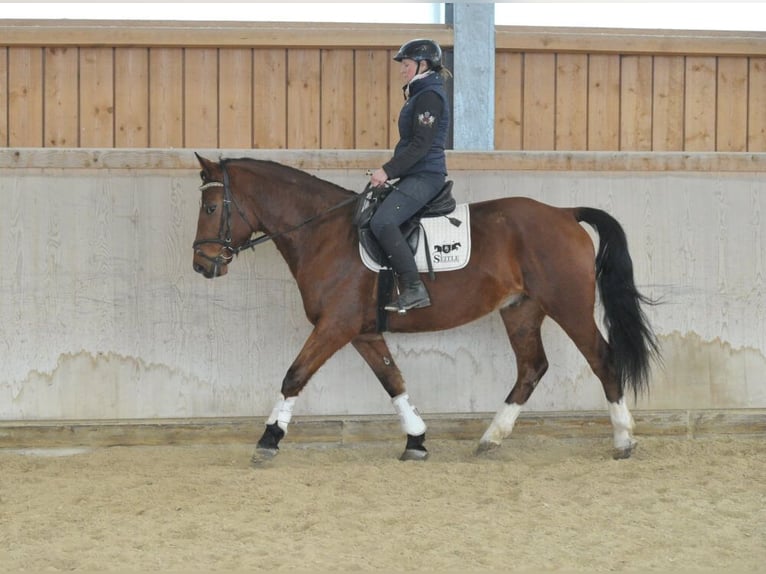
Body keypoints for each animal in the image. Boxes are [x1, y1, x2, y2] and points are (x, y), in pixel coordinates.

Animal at [191, 153, 660, 464]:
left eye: (212, 207)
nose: (201, 264)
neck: (324, 233)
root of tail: (564, 213)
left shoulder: (335, 326)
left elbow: (295, 374)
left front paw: (269, 438)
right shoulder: (362, 331)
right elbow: (393, 380)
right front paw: (415, 439)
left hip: (569, 306)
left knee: (602, 359)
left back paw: (623, 440)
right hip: (520, 310)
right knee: (532, 368)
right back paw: (491, 438)